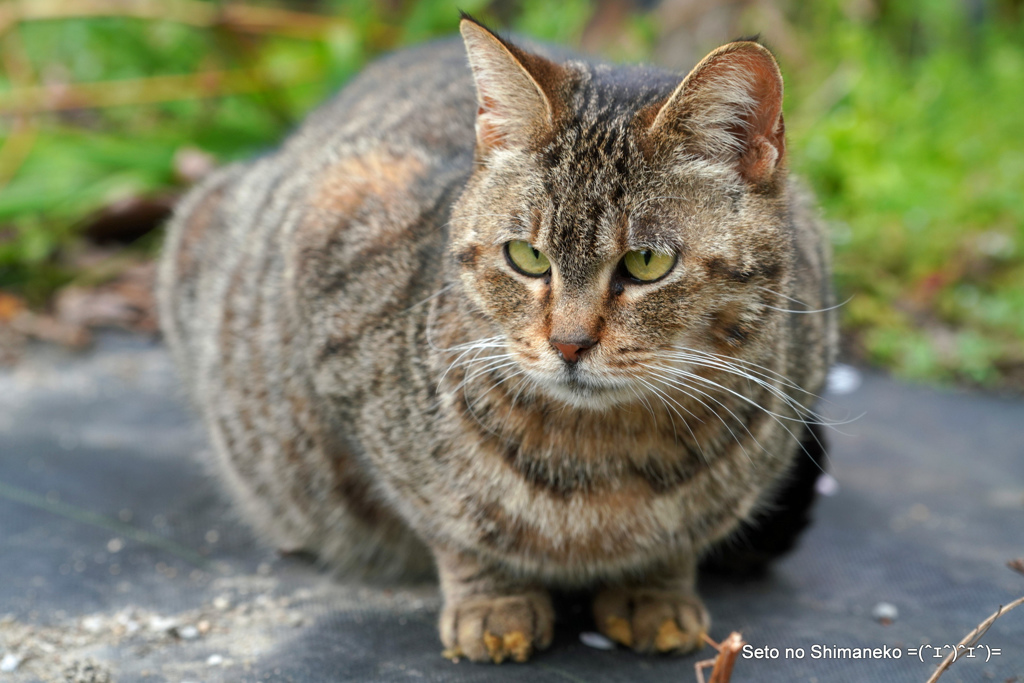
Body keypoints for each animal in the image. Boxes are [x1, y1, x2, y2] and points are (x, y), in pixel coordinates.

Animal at [157, 14, 831, 663]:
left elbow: (680, 540)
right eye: (526, 257)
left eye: (646, 263)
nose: (569, 344)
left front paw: (655, 592)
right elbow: (453, 525)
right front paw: (493, 604)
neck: (604, 455)